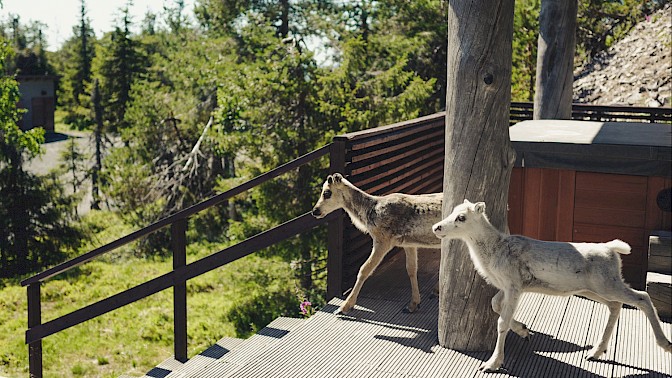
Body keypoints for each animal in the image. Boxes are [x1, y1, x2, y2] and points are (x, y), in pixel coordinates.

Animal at [312, 173, 444, 314]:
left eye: (327, 193)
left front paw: (344, 308)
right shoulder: (408, 243)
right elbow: (411, 269)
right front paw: (413, 305)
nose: (315, 211)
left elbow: (364, 269)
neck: (368, 213)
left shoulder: (383, 240)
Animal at [434, 199, 668, 374]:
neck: (494, 251)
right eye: (452, 211)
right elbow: (495, 305)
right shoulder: (508, 287)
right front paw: (524, 330)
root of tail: (613, 250)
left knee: (642, 297)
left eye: (461, 217)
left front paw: (491, 364)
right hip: (592, 289)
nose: (437, 227)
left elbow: (501, 322)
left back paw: (665, 344)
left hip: (608, 284)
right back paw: (595, 352)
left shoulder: (514, 285)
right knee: (615, 305)